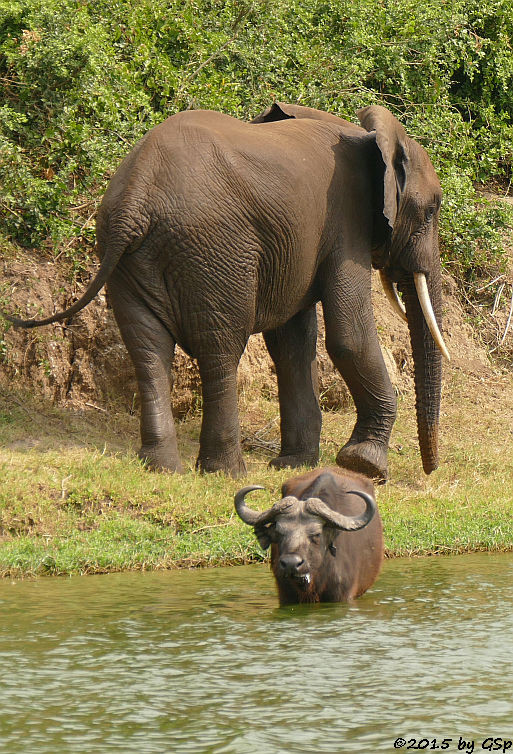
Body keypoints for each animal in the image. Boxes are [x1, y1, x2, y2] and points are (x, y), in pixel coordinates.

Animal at [6, 101, 450, 476]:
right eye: (432, 211)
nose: (430, 470)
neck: (368, 136)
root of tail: (135, 198)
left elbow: (292, 344)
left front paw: (293, 466)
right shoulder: (346, 223)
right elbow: (347, 337)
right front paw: (365, 466)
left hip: (129, 259)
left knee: (148, 348)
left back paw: (163, 468)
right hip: (214, 252)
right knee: (221, 348)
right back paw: (227, 472)